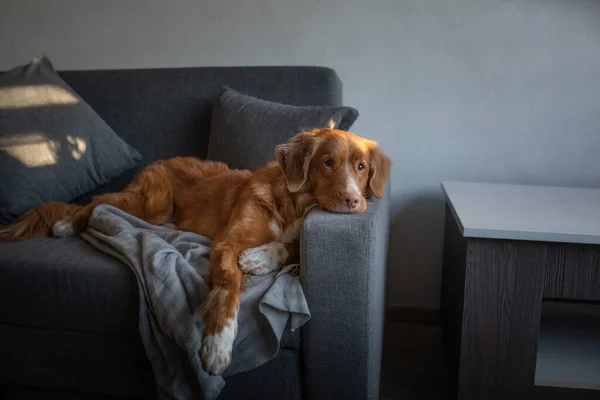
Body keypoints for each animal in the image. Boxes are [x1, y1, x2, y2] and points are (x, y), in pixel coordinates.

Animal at [0, 128, 394, 376]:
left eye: (361, 168)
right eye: (327, 162)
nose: (354, 201)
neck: (294, 207)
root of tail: (159, 162)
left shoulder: (289, 236)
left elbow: (293, 246)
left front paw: (260, 257)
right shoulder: (225, 243)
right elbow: (228, 288)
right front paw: (217, 346)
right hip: (149, 205)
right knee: (96, 204)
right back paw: (67, 225)